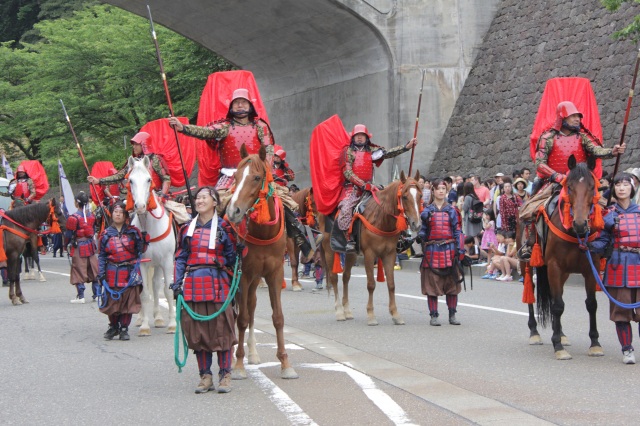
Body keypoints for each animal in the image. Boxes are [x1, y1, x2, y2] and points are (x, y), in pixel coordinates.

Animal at [127, 156, 178, 336]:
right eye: (130, 180)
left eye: (149, 179)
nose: (141, 206)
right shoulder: (142, 263)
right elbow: (144, 293)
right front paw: (144, 326)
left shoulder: (167, 261)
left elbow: (167, 291)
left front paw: (172, 324)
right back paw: (143, 318)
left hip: (158, 264)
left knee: (156, 285)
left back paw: (159, 318)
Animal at [226, 144, 298, 380]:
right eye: (236, 176)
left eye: (256, 177)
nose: (233, 211)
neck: (264, 231)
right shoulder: (243, 274)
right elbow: (241, 318)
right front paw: (239, 365)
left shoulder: (273, 274)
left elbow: (278, 318)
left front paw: (285, 363)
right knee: (237, 311)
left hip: (256, 280)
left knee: (251, 305)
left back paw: (253, 352)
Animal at [316, 171, 424, 324]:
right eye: (404, 196)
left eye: (420, 196)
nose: (416, 224)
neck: (382, 218)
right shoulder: (369, 254)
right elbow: (371, 284)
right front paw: (371, 315)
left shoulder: (390, 254)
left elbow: (391, 284)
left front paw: (395, 314)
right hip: (329, 249)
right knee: (333, 277)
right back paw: (339, 312)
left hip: (351, 253)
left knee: (346, 277)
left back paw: (347, 310)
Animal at [520, 155, 604, 362]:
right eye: (570, 187)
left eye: (592, 186)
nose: (581, 223)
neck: (575, 233)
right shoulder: (554, 266)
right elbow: (558, 306)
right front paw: (557, 345)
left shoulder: (591, 268)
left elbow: (591, 304)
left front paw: (595, 344)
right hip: (526, 263)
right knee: (531, 291)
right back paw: (535, 333)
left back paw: (562, 334)